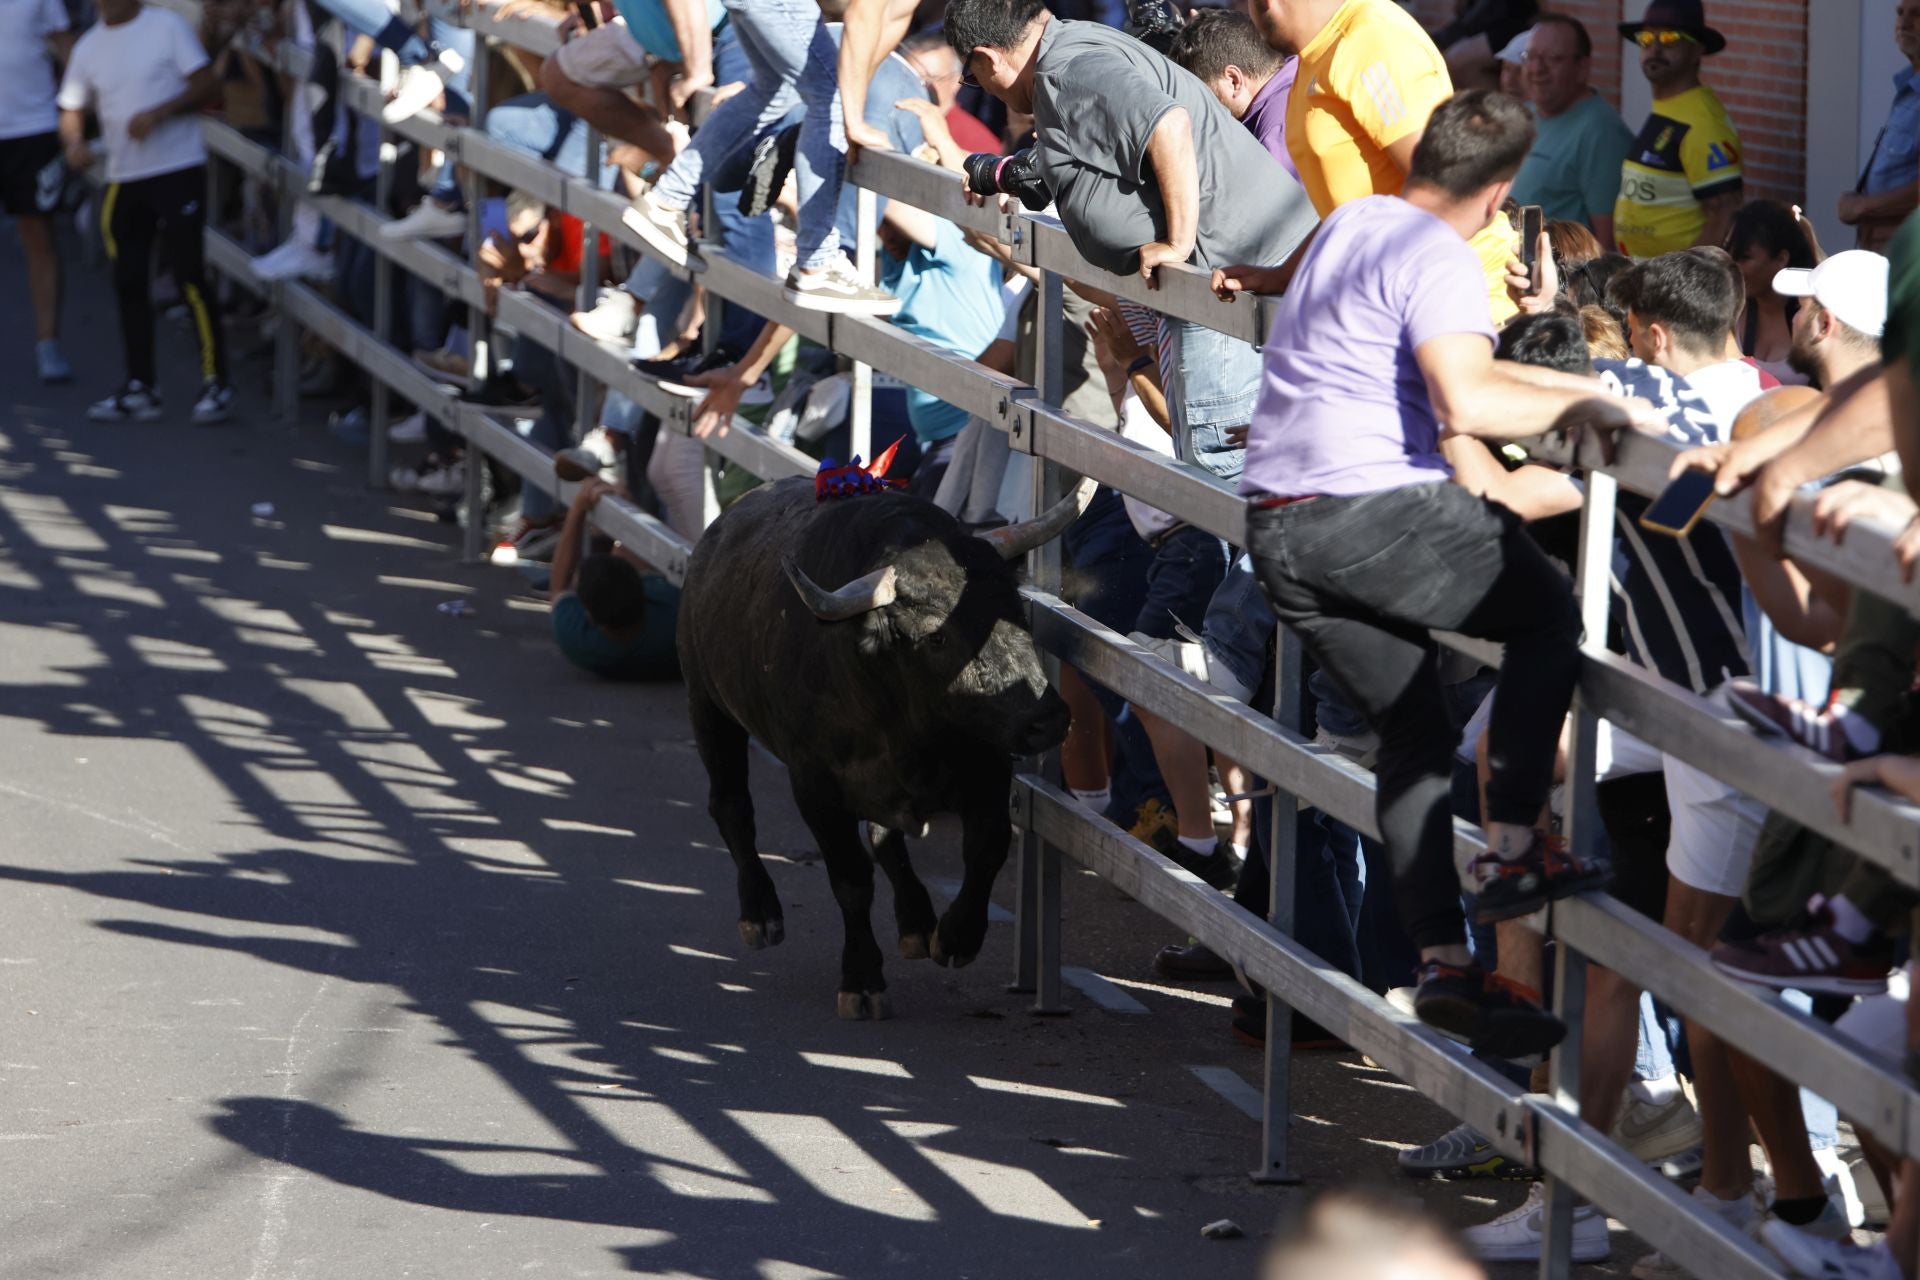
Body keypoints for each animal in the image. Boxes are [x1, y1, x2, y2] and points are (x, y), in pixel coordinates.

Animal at [679, 474, 1098, 1020]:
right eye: (936, 638)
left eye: (1014, 610)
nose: (1046, 720)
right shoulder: (816, 790)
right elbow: (851, 880)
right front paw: (861, 980)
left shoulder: (986, 768)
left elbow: (987, 847)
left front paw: (957, 937)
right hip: (707, 705)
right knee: (731, 806)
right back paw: (760, 914)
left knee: (884, 835)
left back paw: (918, 923)